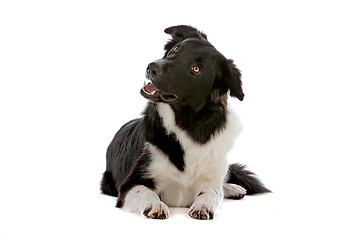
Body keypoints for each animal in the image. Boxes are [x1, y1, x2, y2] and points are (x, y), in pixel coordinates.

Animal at [101, 24, 270, 219]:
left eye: (196, 69)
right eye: (176, 49)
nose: (152, 67)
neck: (186, 126)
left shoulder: (211, 177)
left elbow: (212, 192)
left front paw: (204, 205)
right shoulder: (130, 183)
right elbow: (145, 192)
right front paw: (155, 205)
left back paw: (232, 188)